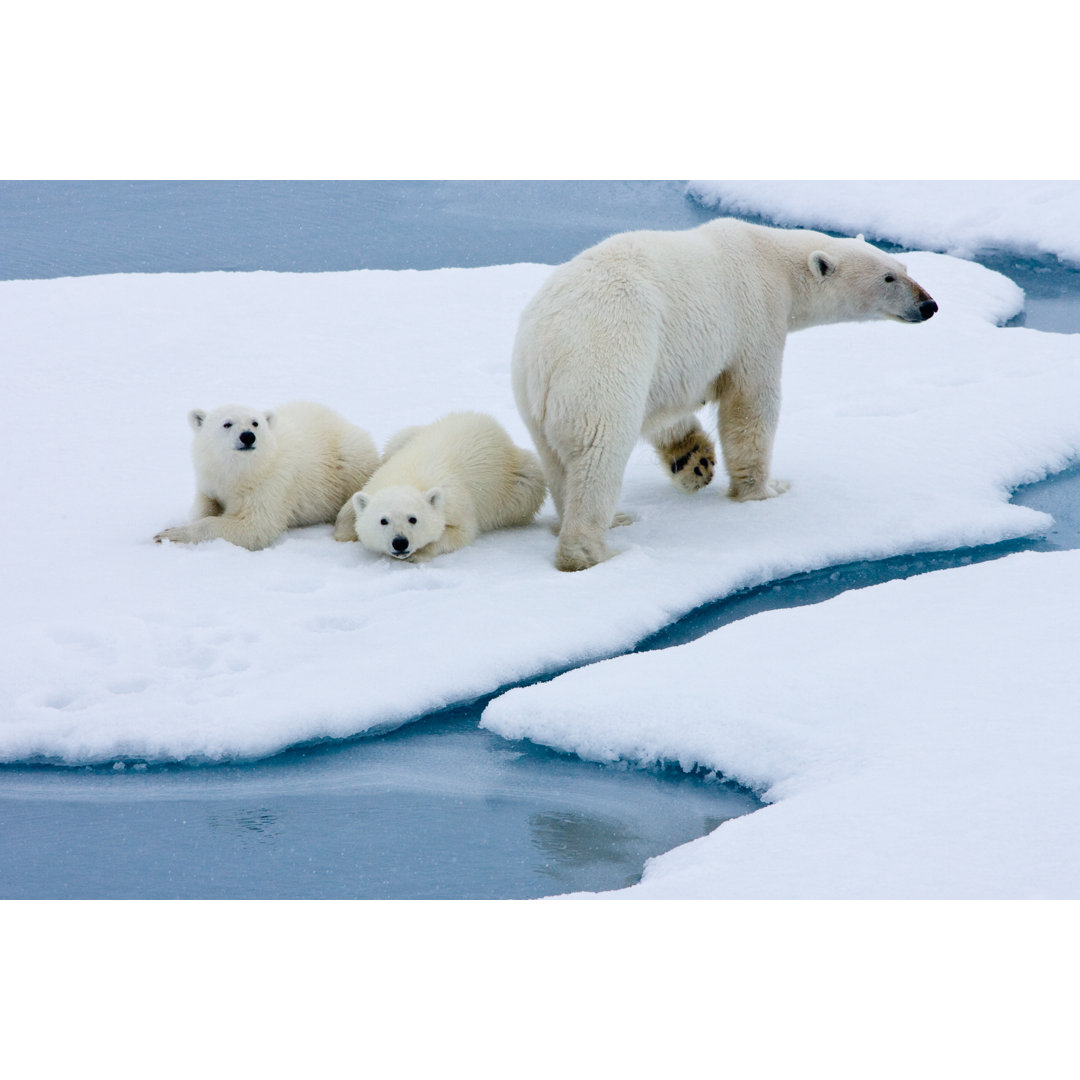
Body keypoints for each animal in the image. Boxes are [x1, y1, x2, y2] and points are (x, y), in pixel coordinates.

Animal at [514, 220, 937, 574]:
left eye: (904, 266)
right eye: (888, 277)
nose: (928, 305)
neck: (772, 257)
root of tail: (546, 349)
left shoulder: (672, 361)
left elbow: (667, 406)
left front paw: (695, 462)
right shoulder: (755, 317)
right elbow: (750, 405)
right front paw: (765, 491)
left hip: (535, 398)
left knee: (558, 464)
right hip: (604, 363)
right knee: (598, 454)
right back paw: (593, 550)